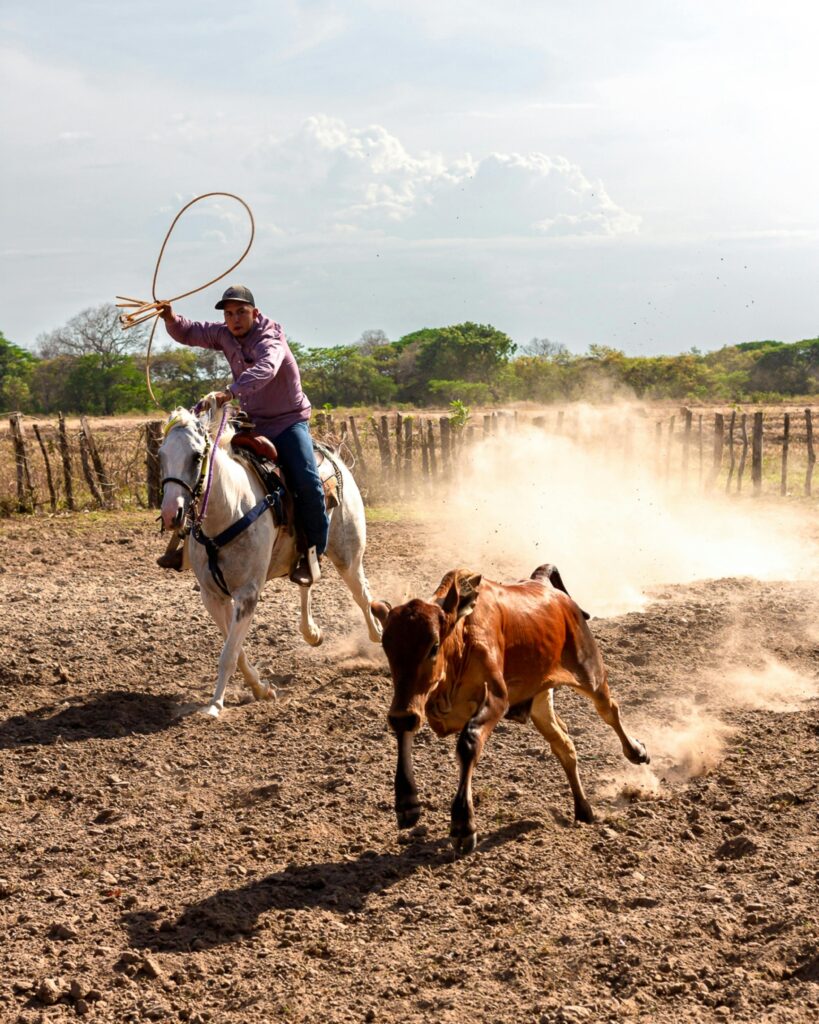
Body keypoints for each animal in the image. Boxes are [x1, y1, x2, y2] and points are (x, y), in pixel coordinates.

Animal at [158, 395, 384, 716]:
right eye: (161, 455)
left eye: (195, 456)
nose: (171, 514)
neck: (229, 508)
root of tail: (333, 456)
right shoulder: (212, 596)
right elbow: (236, 650)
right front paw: (261, 689)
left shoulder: (248, 594)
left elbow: (229, 653)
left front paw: (214, 705)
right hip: (305, 555)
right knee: (308, 579)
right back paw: (311, 631)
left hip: (348, 555)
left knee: (362, 595)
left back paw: (378, 635)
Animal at [368, 565, 647, 851]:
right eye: (387, 648)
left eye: (433, 646)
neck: (462, 636)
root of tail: (544, 585)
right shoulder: (414, 701)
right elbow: (406, 726)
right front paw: (407, 802)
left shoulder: (497, 698)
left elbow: (469, 742)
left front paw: (463, 825)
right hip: (540, 703)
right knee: (564, 745)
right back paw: (583, 809)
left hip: (590, 672)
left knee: (609, 710)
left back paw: (636, 751)